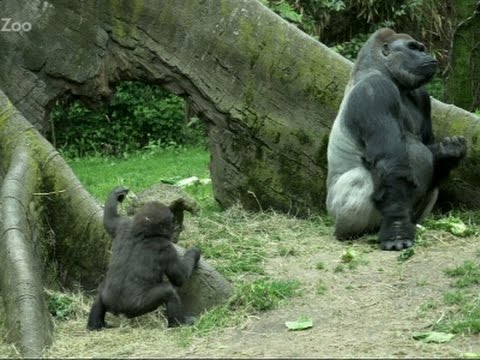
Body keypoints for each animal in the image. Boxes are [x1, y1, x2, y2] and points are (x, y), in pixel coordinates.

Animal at [86, 187, 201, 330]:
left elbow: (109, 220)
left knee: (99, 295)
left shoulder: (125, 224)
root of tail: (118, 310)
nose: (174, 227)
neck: (143, 231)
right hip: (136, 306)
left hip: (107, 297)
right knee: (168, 292)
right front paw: (194, 253)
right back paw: (178, 323)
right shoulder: (166, 248)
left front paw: (117, 193)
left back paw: (94, 325)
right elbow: (180, 278)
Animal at [326, 28, 464, 250]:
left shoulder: (422, 95)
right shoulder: (375, 92)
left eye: (421, 48)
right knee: (361, 178)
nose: (428, 55)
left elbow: (428, 148)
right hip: (336, 210)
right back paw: (350, 232)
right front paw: (397, 231)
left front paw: (449, 152)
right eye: (413, 48)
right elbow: (391, 163)